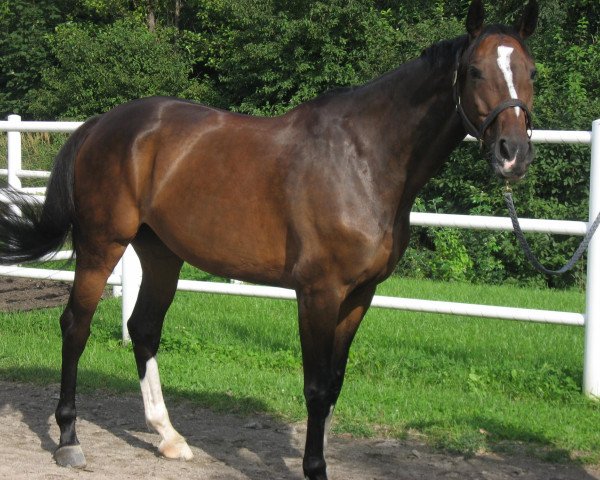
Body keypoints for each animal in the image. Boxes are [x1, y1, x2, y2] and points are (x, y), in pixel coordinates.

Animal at [0, 1, 540, 478]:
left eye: (531, 71)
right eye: (474, 71)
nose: (512, 154)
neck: (364, 159)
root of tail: (100, 125)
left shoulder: (360, 296)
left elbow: (335, 384)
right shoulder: (319, 293)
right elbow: (317, 387)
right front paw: (315, 469)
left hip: (161, 254)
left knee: (144, 329)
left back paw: (169, 437)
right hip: (101, 245)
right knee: (76, 326)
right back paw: (69, 440)